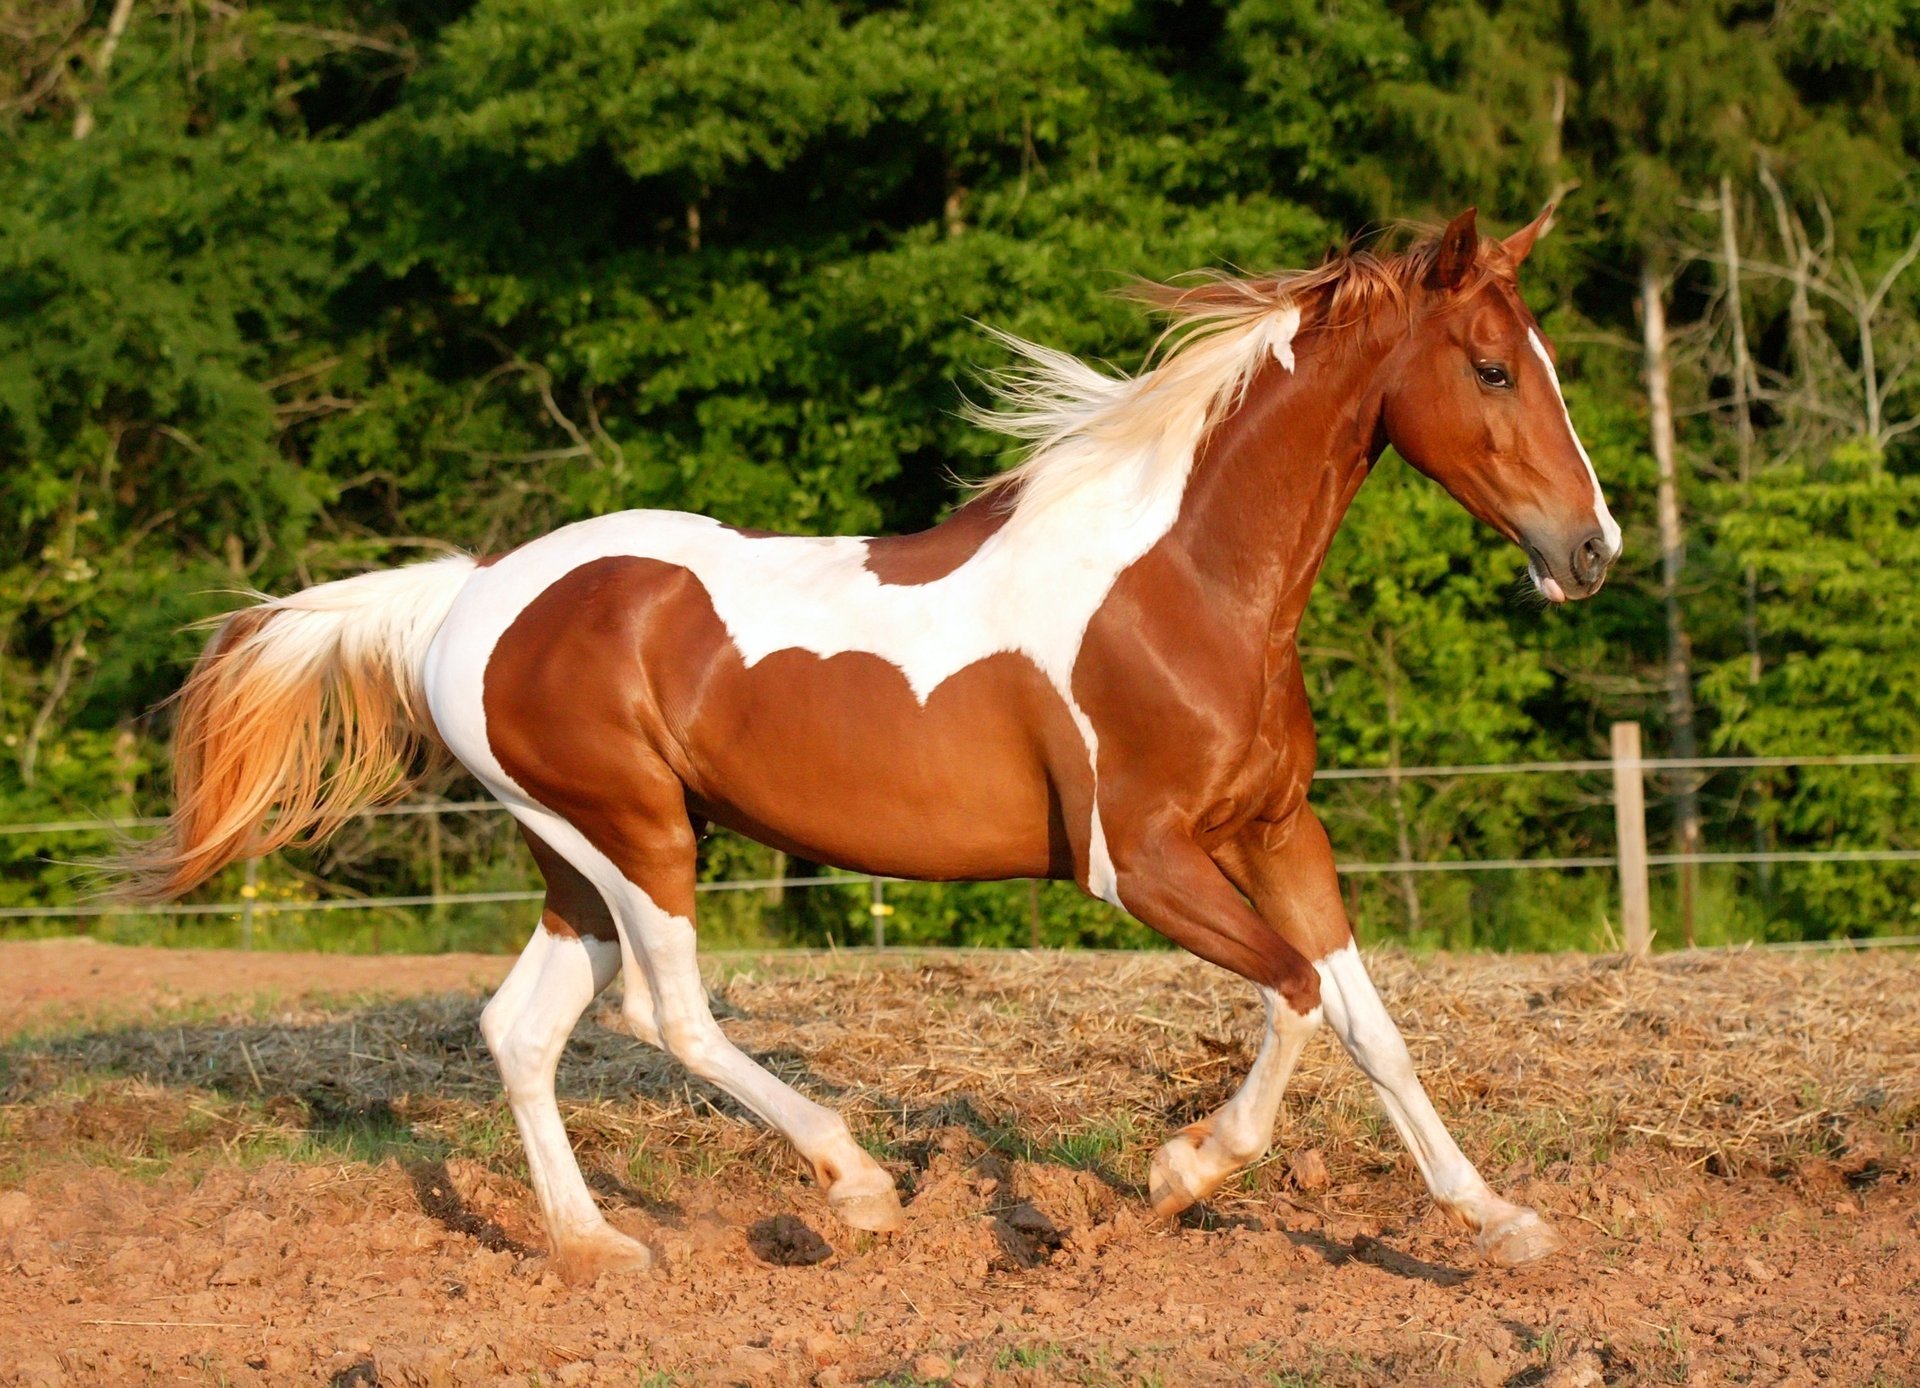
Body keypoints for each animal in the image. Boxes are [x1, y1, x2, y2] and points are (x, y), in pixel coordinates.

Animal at [117, 206, 1619, 1280]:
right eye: (1492, 366)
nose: (1590, 549)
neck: (1183, 584)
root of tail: (467, 594)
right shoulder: (1139, 861)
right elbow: (1297, 996)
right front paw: (1183, 1167)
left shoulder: (1274, 830)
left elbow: (1370, 1024)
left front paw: (1500, 1222)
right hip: (635, 837)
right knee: (666, 1014)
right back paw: (857, 1185)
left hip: (578, 856)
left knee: (522, 1028)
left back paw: (599, 1243)